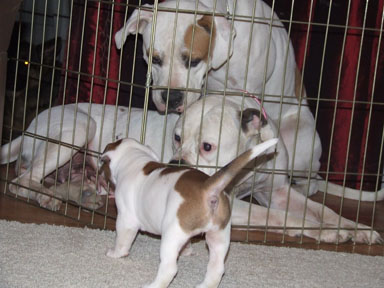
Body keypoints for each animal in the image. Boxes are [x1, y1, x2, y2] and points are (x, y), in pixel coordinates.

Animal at [99, 136, 280, 286]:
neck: (135, 159)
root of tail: (207, 187)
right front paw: (187, 251)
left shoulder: (126, 220)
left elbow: (122, 241)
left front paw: (115, 253)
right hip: (219, 236)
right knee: (217, 268)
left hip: (171, 235)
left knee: (170, 269)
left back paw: (152, 285)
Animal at [172, 95, 384, 244]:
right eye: (176, 138)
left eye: (207, 146)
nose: (176, 163)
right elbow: (277, 215)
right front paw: (325, 230)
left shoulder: (278, 193)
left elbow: (323, 210)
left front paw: (357, 229)